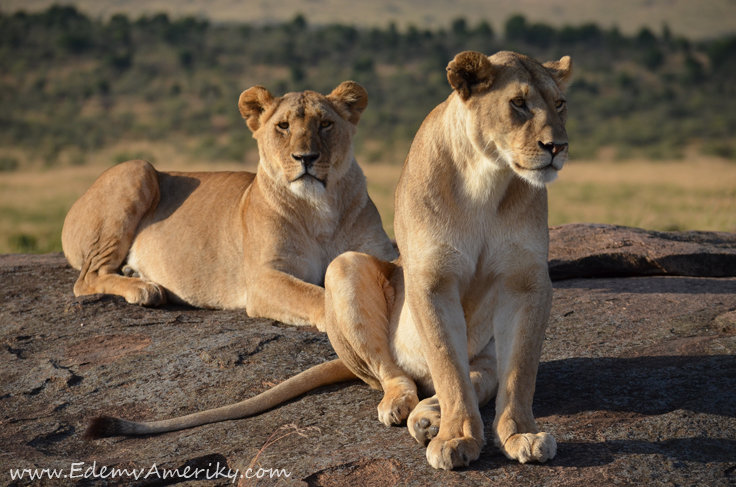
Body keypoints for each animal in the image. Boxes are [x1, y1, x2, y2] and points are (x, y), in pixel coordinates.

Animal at [61, 82, 396, 330]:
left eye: (325, 124)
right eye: (283, 126)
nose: (306, 157)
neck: (319, 207)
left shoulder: (378, 251)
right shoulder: (262, 278)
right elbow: (314, 295)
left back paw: (135, 273)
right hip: (137, 168)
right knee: (87, 278)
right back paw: (145, 288)